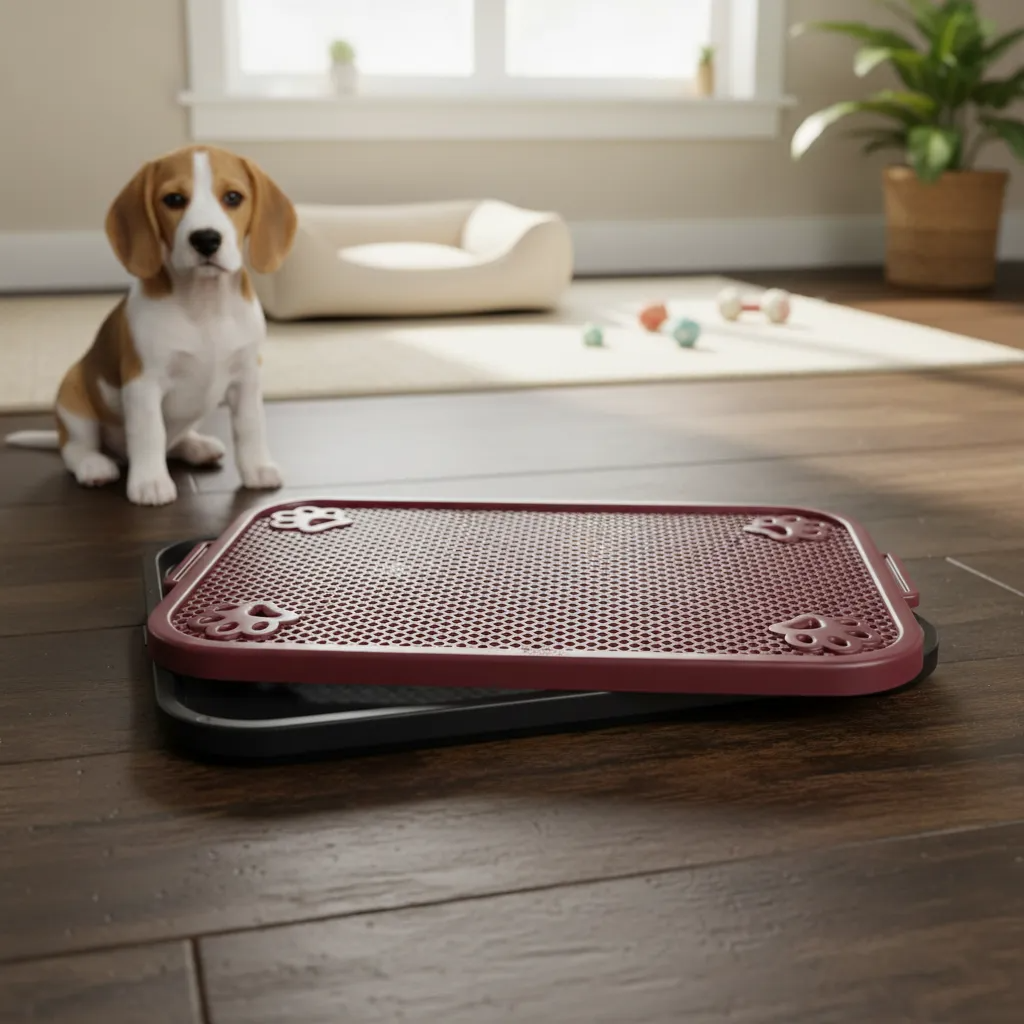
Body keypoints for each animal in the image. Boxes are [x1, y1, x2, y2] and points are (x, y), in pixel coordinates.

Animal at [5, 145, 297, 506]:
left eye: (233, 197)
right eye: (173, 199)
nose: (206, 239)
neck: (204, 306)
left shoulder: (246, 378)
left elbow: (250, 426)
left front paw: (257, 468)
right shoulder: (143, 383)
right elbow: (150, 433)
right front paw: (150, 482)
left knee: (175, 442)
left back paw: (197, 445)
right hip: (72, 398)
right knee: (74, 448)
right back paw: (94, 465)